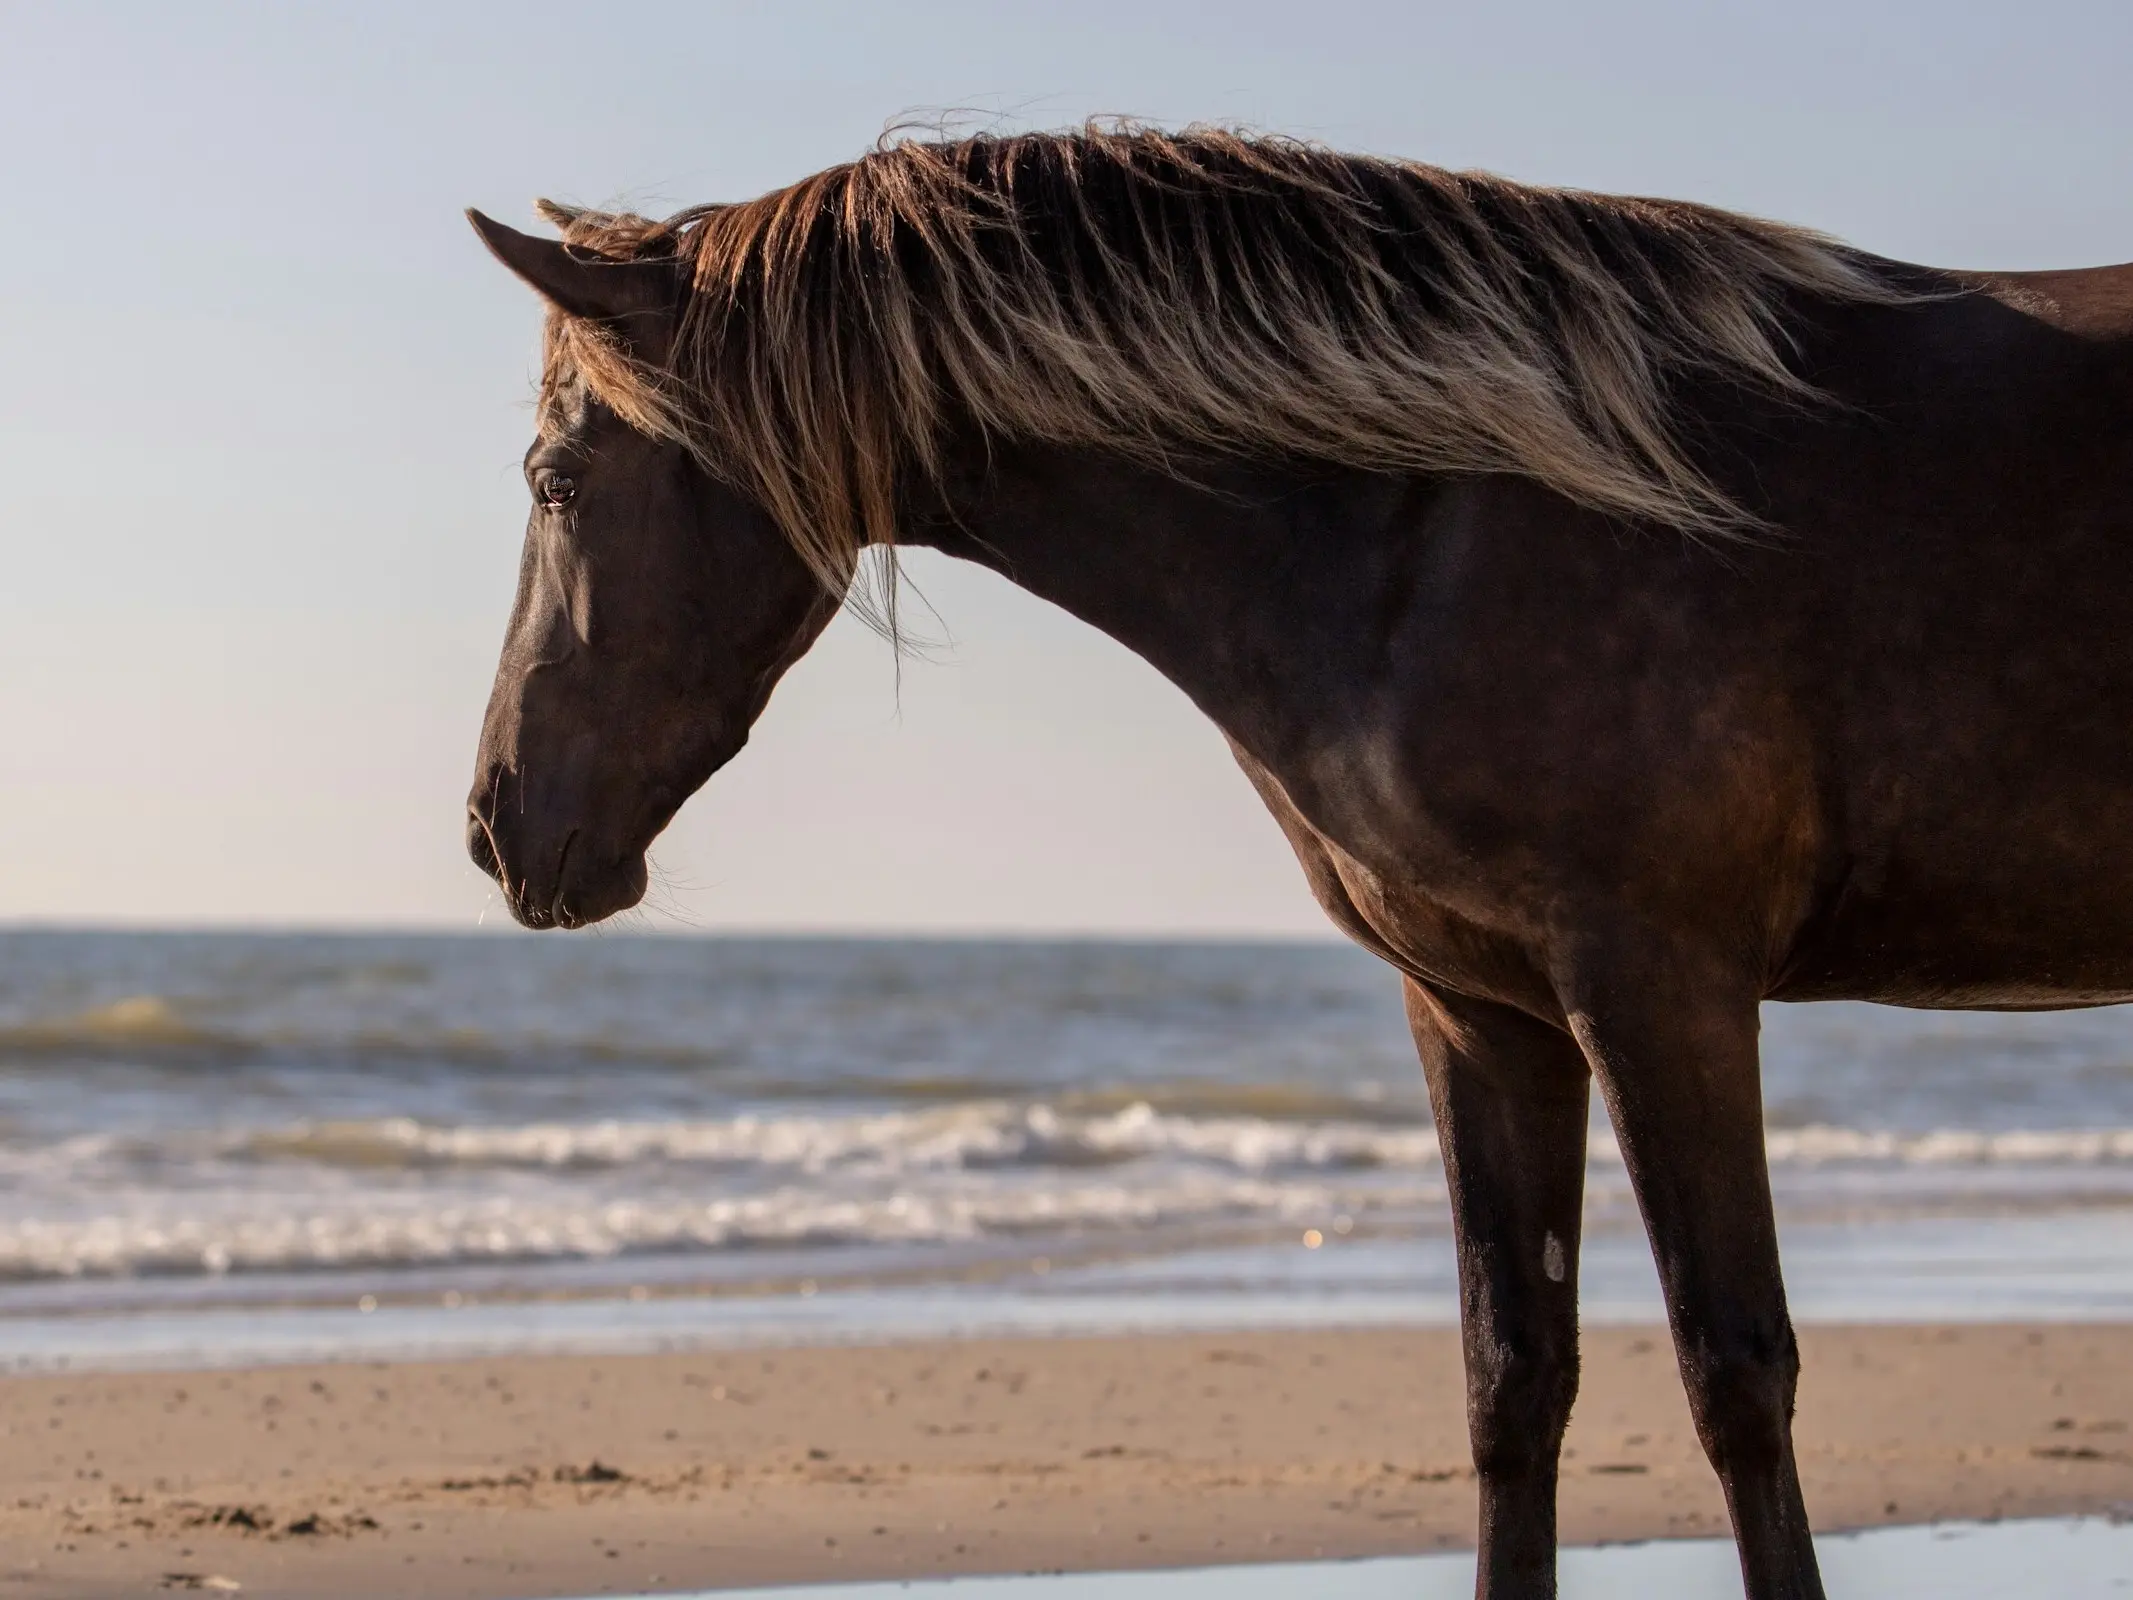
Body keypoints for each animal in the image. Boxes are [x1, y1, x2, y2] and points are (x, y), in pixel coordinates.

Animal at [461, 126, 2133, 1600]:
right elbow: (1512, 1381)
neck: (1433, 518)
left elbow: (1733, 1372)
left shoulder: (1662, 989)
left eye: (554, 478)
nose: (491, 825)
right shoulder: (1484, 1011)